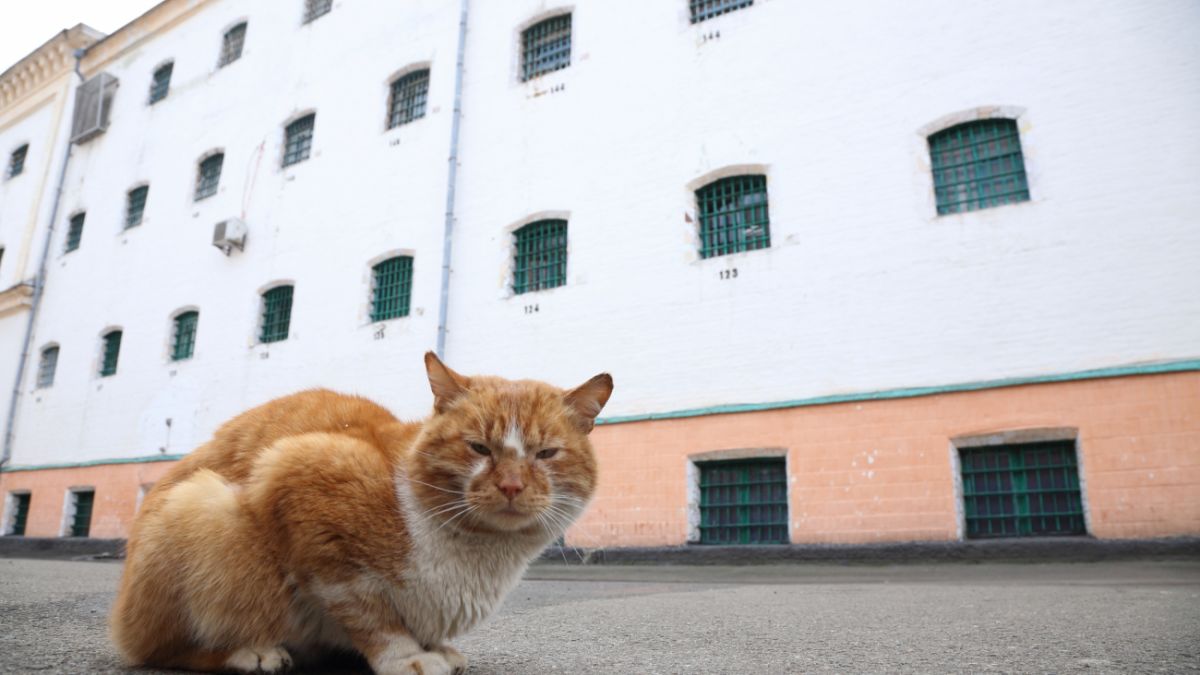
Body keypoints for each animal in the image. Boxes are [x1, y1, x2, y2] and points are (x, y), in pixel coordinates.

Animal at [109, 348, 614, 667]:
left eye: (545, 453)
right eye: (479, 448)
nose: (510, 485)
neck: (478, 557)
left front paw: (436, 647)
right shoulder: (304, 482)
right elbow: (369, 613)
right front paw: (407, 657)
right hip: (200, 506)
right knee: (154, 650)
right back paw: (249, 652)